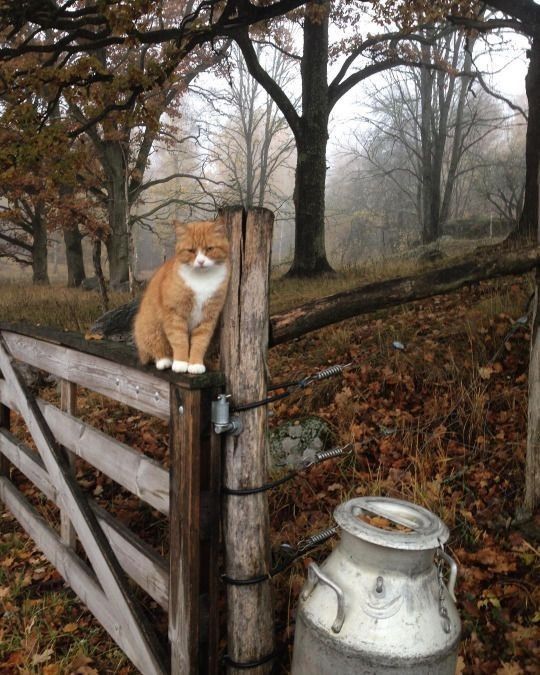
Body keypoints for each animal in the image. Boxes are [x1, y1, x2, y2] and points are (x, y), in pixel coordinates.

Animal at [134, 217, 230, 374]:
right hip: (152, 328)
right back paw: (164, 360)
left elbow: (200, 342)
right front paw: (180, 362)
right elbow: (180, 340)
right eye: (191, 250)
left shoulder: (208, 317)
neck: (201, 280)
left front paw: (195, 364)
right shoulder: (175, 314)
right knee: (153, 349)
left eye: (209, 249)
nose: (201, 262)